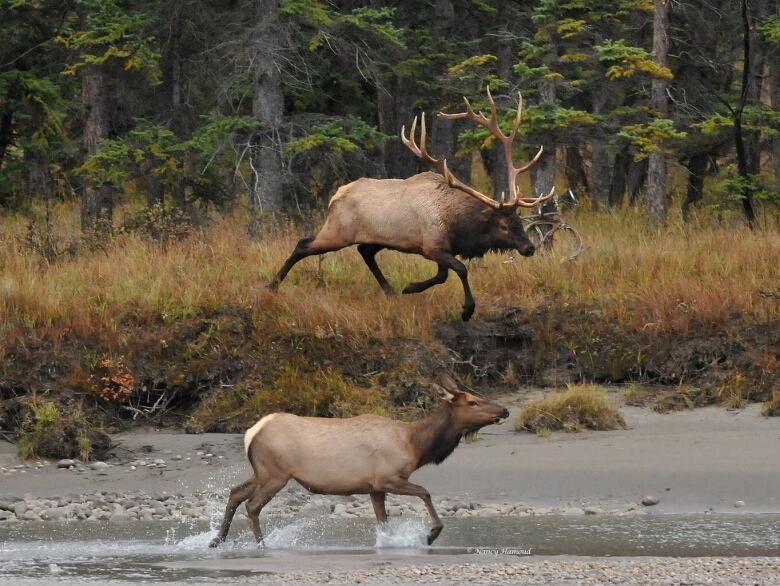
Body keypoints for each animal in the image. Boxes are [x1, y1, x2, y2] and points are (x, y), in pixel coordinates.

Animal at [210, 376, 508, 544]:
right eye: (472, 402)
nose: (504, 410)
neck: (416, 445)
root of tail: (252, 432)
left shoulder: (374, 488)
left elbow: (383, 521)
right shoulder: (388, 478)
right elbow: (425, 492)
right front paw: (432, 533)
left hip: (262, 472)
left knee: (235, 493)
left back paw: (217, 540)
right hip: (275, 474)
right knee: (252, 506)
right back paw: (262, 544)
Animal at [272, 86, 552, 320]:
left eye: (519, 221)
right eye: (503, 226)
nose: (529, 248)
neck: (459, 226)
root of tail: (335, 196)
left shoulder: (441, 248)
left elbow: (442, 275)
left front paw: (410, 287)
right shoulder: (432, 246)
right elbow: (460, 269)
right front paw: (466, 310)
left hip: (376, 237)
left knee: (364, 251)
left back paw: (390, 291)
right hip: (337, 232)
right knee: (303, 245)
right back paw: (272, 284)